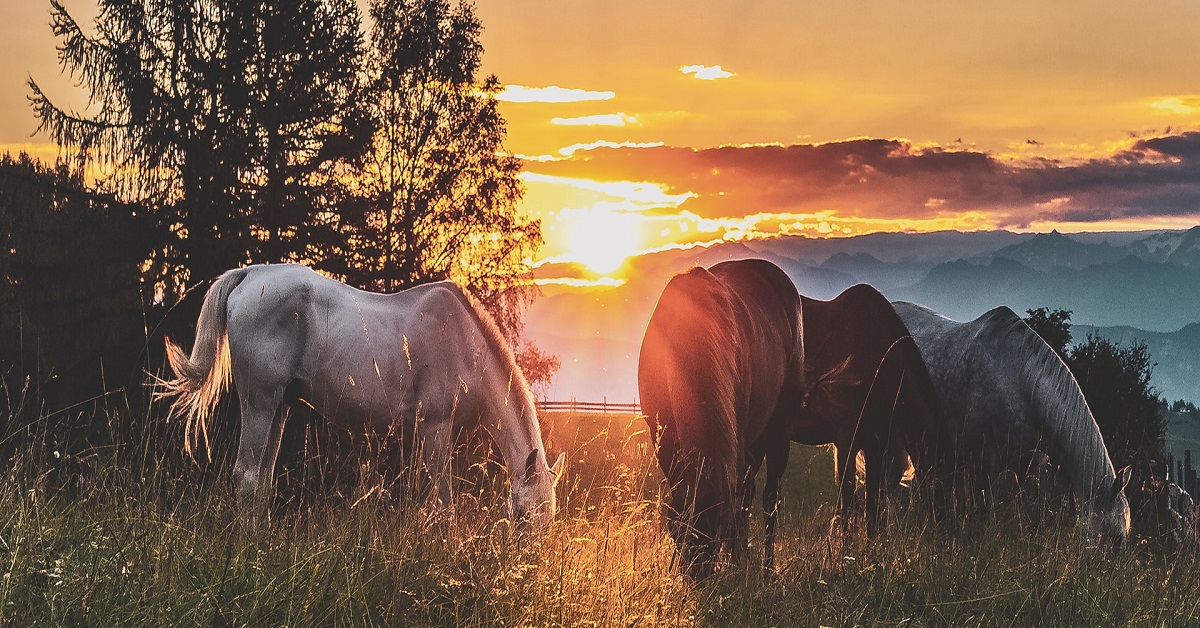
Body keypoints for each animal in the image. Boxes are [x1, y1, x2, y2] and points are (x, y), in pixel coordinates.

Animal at [157, 261, 564, 530]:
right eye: (524, 517)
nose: (525, 566)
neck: (465, 343)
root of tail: (250, 275)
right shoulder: (436, 425)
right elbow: (442, 502)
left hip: (279, 407)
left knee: (262, 481)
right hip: (259, 401)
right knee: (247, 476)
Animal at [638, 260, 806, 581]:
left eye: (715, 535)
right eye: (680, 533)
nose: (699, 580)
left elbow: (741, 505)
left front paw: (738, 564)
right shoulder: (663, 440)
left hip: (777, 433)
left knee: (768, 501)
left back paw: (764, 570)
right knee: (748, 494)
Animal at [792, 283, 950, 535]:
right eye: (942, 482)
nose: (946, 530)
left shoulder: (876, 446)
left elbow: (872, 509)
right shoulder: (846, 443)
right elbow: (848, 507)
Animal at [897, 302, 1128, 542]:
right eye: (1114, 537)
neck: (1019, 383)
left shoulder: (1029, 467)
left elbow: (1033, 515)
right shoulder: (983, 464)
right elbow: (981, 511)